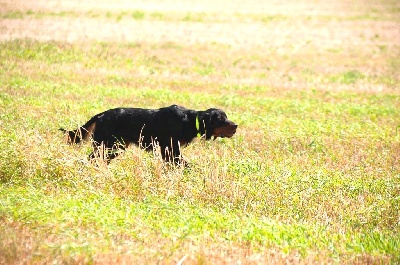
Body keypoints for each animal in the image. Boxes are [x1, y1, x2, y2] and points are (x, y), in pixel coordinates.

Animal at [60, 104, 238, 164]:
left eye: (226, 117)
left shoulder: (168, 151)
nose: (236, 126)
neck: (189, 120)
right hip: (109, 145)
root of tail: (101, 115)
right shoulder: (171, 149)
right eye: (221, 119)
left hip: (115, 147)